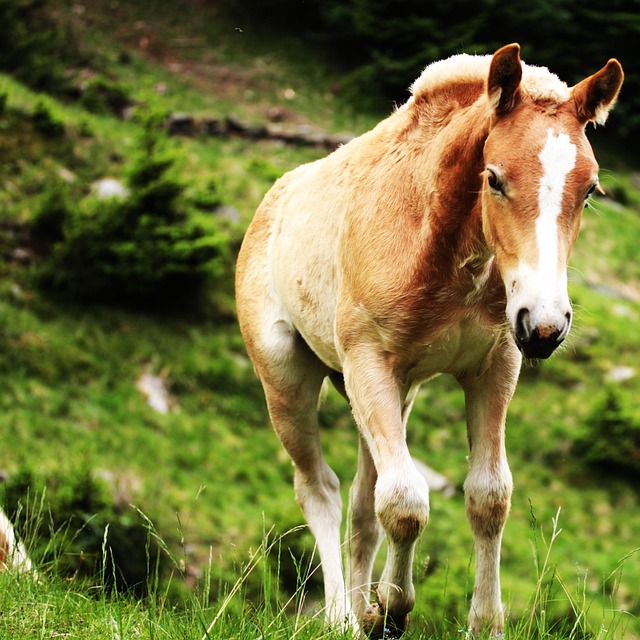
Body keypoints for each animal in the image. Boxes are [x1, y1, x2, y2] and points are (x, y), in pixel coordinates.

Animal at [234, 42, 620, 636]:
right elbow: (405, 501)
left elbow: (488, 496)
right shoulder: (370, 361)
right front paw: (392, 607)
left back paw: (359, 608)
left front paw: (484, 623)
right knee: (319, 488)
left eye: (590, 190)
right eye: (494, 178)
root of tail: (272, 201)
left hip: (394, 391)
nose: (545, 325)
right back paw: (343, 617)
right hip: (289, 378)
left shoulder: (493, 367)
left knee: (361, 503)